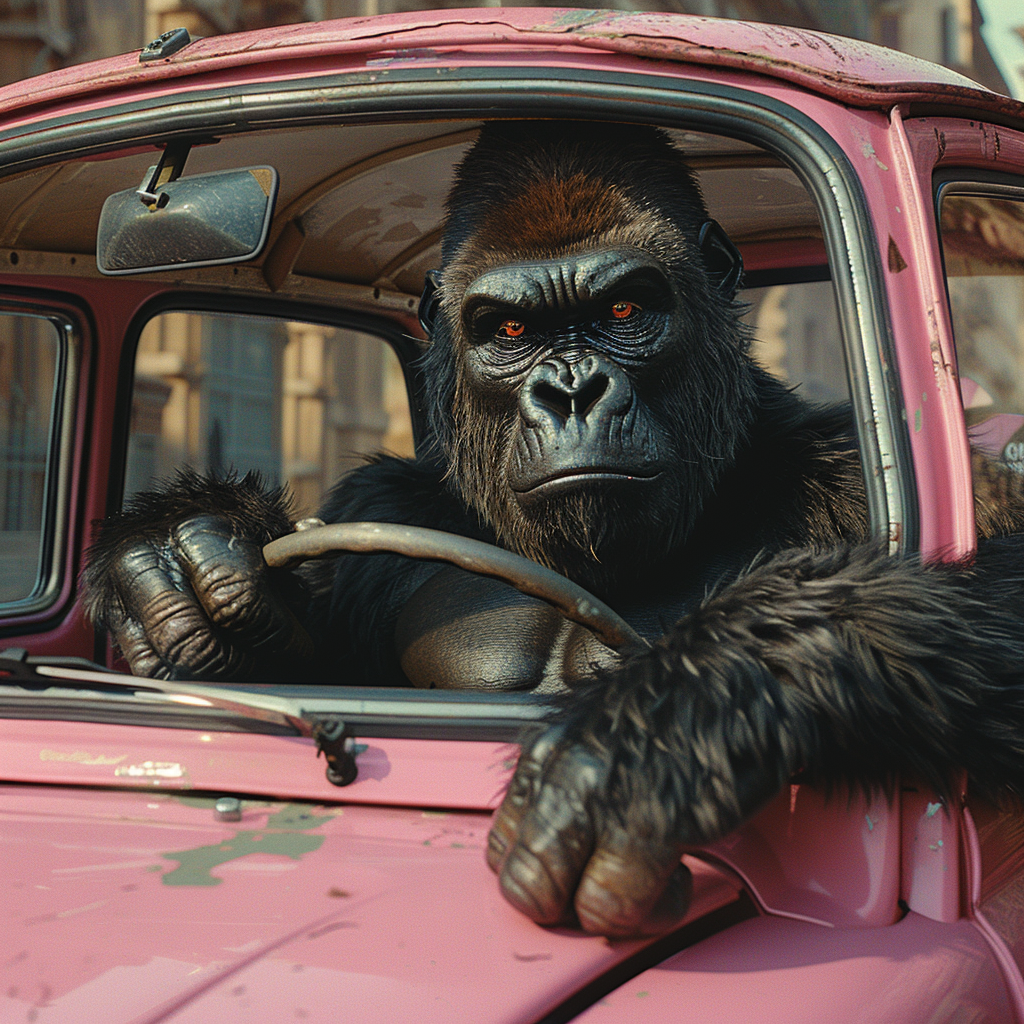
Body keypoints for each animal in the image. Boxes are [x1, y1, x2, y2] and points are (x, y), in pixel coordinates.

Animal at [81, 117, 1024, 937]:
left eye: (622, 313)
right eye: (510, 329)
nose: (572, 389)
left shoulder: (841, 471)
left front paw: (666, 725)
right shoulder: (378, 509)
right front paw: (179, 562)